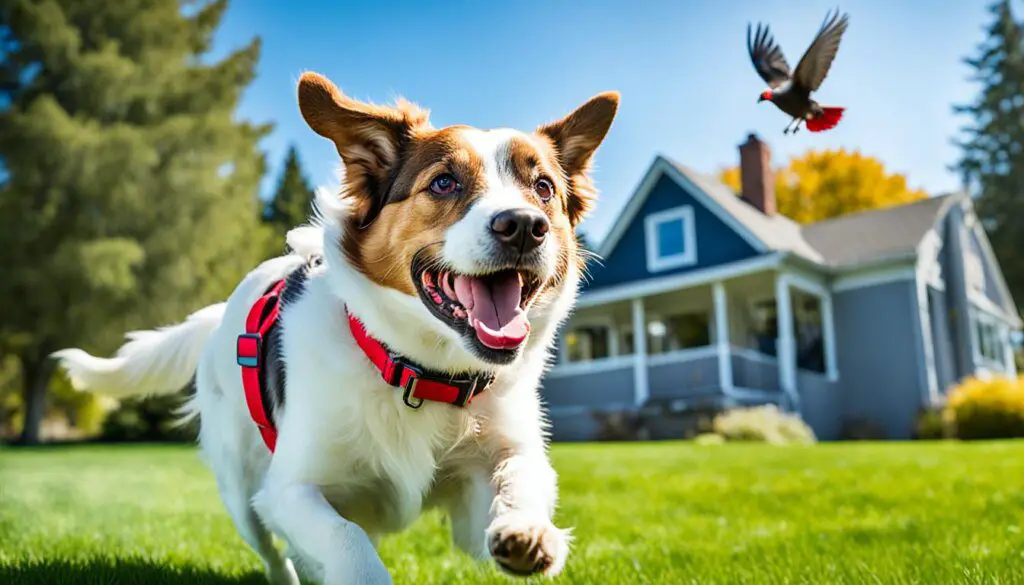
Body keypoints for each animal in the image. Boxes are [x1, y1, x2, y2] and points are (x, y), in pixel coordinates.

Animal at [54, 73, 614, 585]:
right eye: (444, 182)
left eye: (543, 188)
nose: (523, 226)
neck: (417, 371)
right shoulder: (289, 489)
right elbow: (348, 542)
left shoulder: (480, 489)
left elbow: (520, 476)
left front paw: (529, 531)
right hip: (240, 487)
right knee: (274, 553)